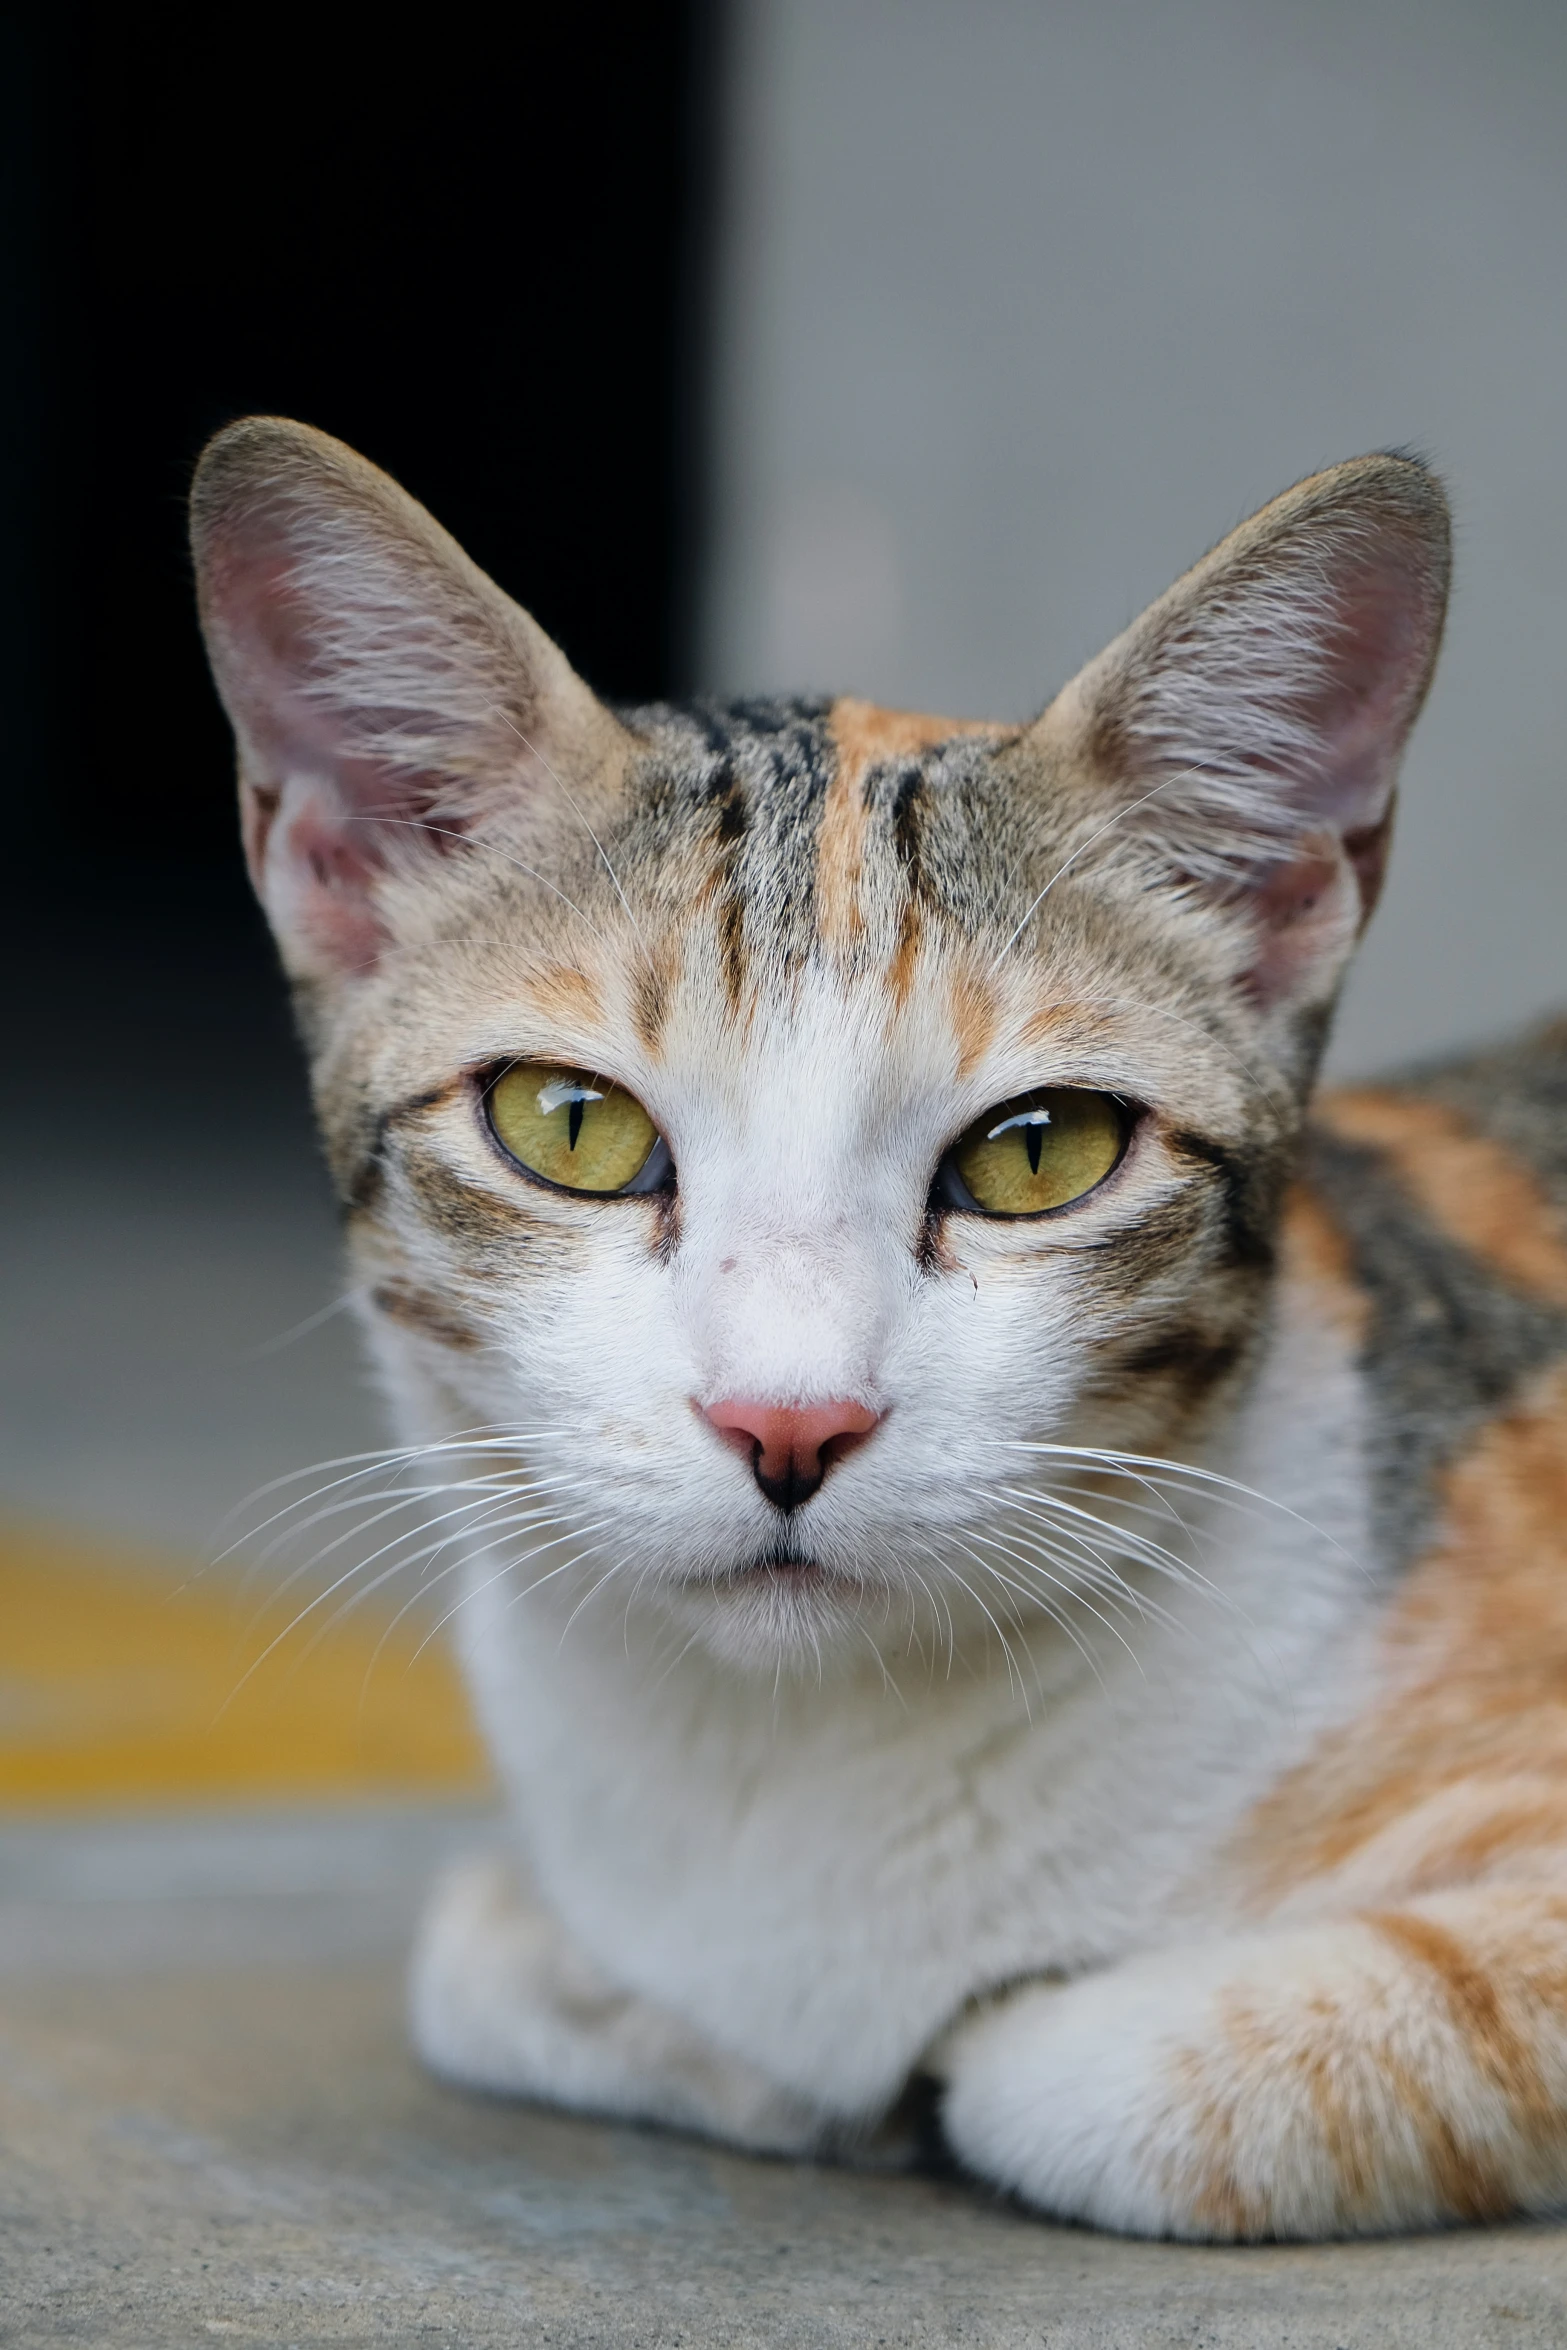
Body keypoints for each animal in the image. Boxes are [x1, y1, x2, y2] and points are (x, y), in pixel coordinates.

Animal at [192, 422, 1567, 2237]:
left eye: (1038, 1152)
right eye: (570, 1125)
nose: (789, 1422)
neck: (801, 1752)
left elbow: (1102, 2073)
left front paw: (943, 2058)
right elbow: (474, 1957)